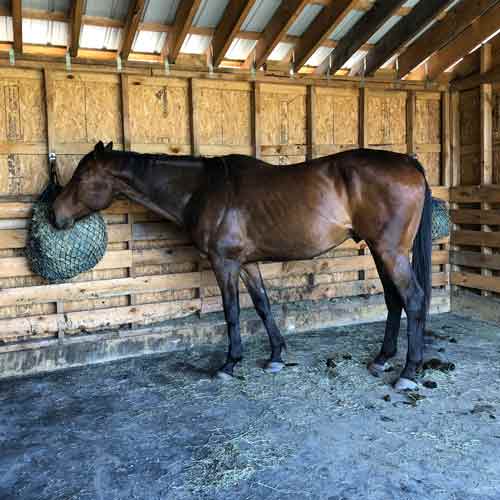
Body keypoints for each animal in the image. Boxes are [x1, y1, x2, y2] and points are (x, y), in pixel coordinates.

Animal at [52, 141, 432, 390]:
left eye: (82, 178)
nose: (55, 215)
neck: (202, 189)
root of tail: (407, 162)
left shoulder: (225, 263)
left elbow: (232, 311)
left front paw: (230, 362)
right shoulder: (247, 264)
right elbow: (262, 305)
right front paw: (276, 356)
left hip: (390, 251)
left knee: (412, 298)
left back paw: (408, 372)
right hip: (380, 251)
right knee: (394, 300)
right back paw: (382, 358)